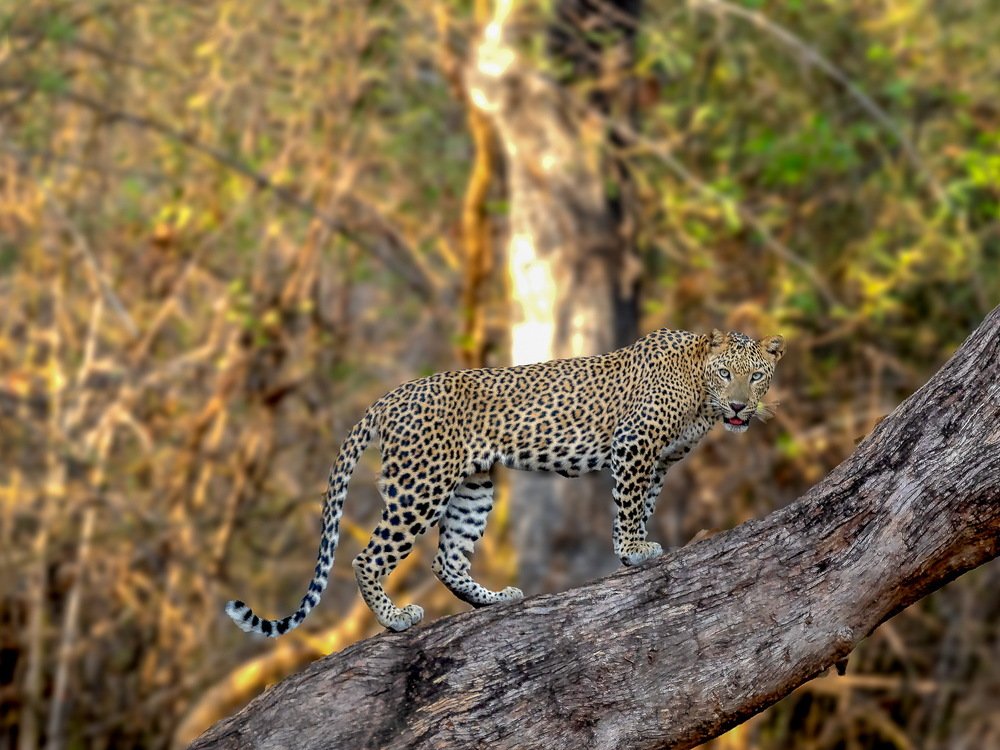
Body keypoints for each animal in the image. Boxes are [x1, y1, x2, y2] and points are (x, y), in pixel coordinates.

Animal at [225, 327, 785, 634]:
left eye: (756, 376)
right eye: (725, 373)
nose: (740, 406)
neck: (700, 396)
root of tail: (390, 396)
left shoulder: (661, 462)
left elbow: (643, 504)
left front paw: (637, 547)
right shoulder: (634, 444)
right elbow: (627, 504)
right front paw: (632, 550)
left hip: (472, 487)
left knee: (447, 559)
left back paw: (493, 600)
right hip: (421, 487)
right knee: (368, 557)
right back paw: (395, 618)